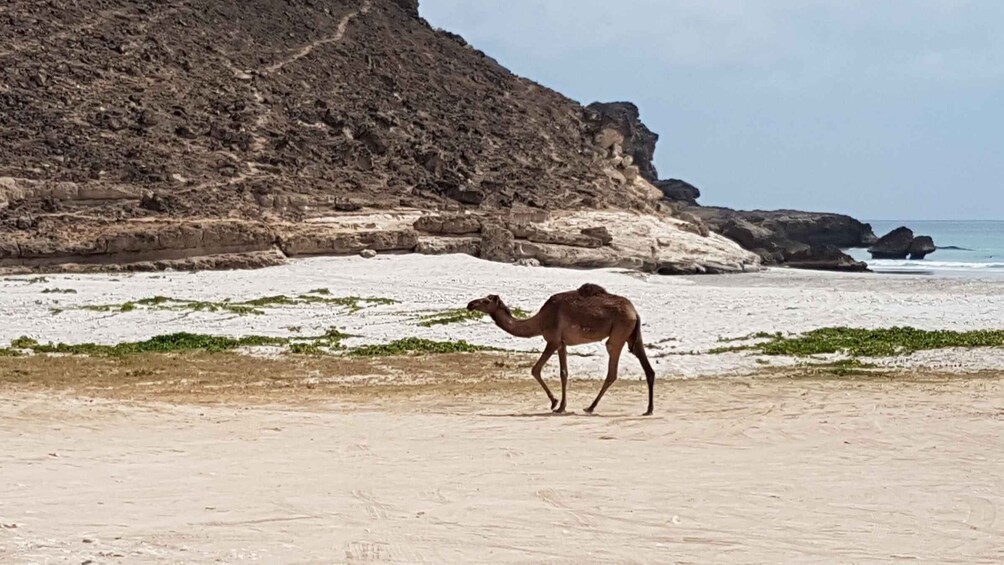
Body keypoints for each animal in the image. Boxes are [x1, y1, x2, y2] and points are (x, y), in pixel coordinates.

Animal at [463, 283, 654, 415]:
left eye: (486, 300)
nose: (470, 304)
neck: (539, 321)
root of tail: (635, 312)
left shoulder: (553, 340)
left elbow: (535, 369)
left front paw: (554, 402)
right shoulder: (562, 344)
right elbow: (564, 373)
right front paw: (561, 406)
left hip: (619, 333)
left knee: (612, 369)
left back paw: (590, 407)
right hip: (631, 335)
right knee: (647, 367)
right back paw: (648, 410)